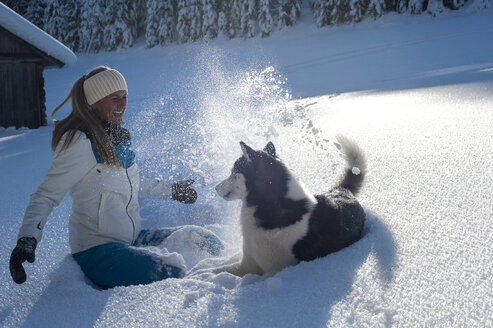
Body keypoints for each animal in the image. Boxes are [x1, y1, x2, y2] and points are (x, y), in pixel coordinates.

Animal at [208, 136, 366, 276]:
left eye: (233, 172)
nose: (215, 187)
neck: (269, 206)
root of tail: (342, 190)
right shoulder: (247, 264)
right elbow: (213, 271)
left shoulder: (274, 270)